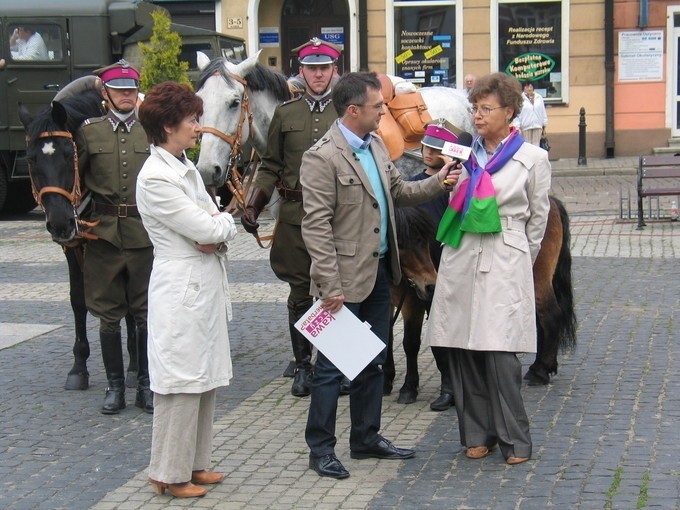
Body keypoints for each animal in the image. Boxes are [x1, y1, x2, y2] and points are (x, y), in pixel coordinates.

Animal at [386, 195, 576, 402]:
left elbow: (410, 343)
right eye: (399, 244)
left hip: (536, 279)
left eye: (423, 240)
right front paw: (387, 379)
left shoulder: (413, 302)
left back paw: (540, 371)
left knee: (550, 316)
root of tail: (552, 202)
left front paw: (409, 387)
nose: (430, 285)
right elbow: (386, 338)